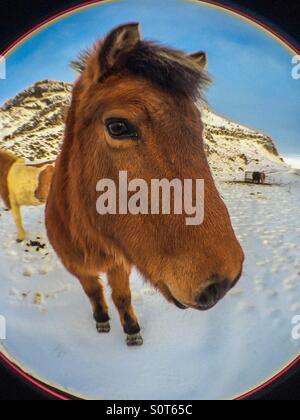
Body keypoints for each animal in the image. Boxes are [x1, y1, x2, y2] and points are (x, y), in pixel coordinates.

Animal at [46, 22, 244, 344]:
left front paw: (131, 331)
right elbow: (94, 292)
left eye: (198, 125)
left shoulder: (120, 265)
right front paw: (102, 320)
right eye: (117, 126)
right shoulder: (77, 268)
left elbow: (121, 297)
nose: (224, 280)